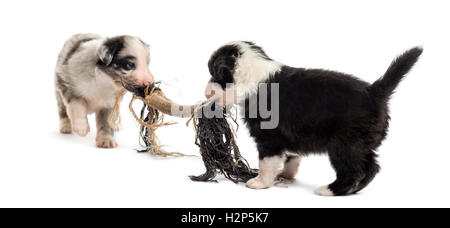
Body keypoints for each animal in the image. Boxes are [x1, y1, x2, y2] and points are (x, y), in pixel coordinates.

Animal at [206, 41, 424, 196]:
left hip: (344, 144)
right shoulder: (290, 135)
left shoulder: (269, 137)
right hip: (363, 143)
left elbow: (266, 163)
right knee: (372, 167)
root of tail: (374, 91)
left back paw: (330, 190)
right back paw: (353, 189)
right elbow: (291, 157)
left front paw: (260, 182)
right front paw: (285, 176)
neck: (252, 75)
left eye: (214, 74)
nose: (207, 93)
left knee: (353, 170)